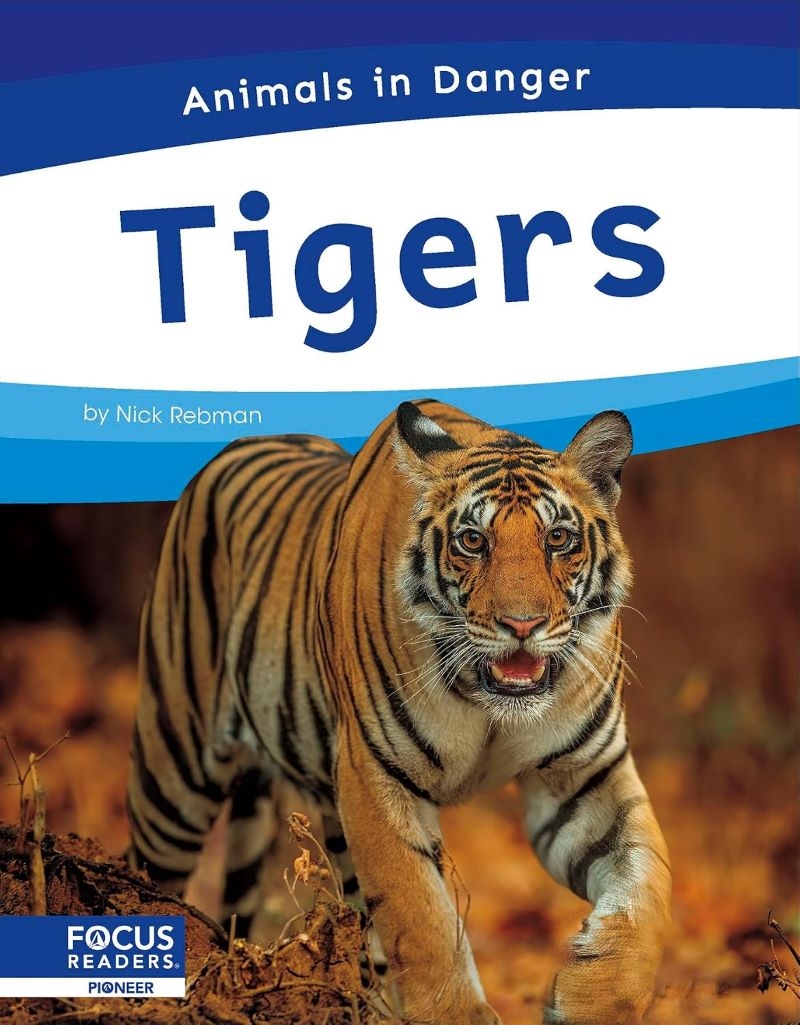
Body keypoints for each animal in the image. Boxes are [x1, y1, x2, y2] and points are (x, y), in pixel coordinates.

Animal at [128, 398, 671, 1025]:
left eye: (558, 537)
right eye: (471, 541)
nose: (523, 625)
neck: (490, 705)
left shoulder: (584, 775)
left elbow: (647, 887)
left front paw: (593, 998)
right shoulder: (375, 777)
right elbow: (423, 919)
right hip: (173, 770)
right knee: (146, 873)